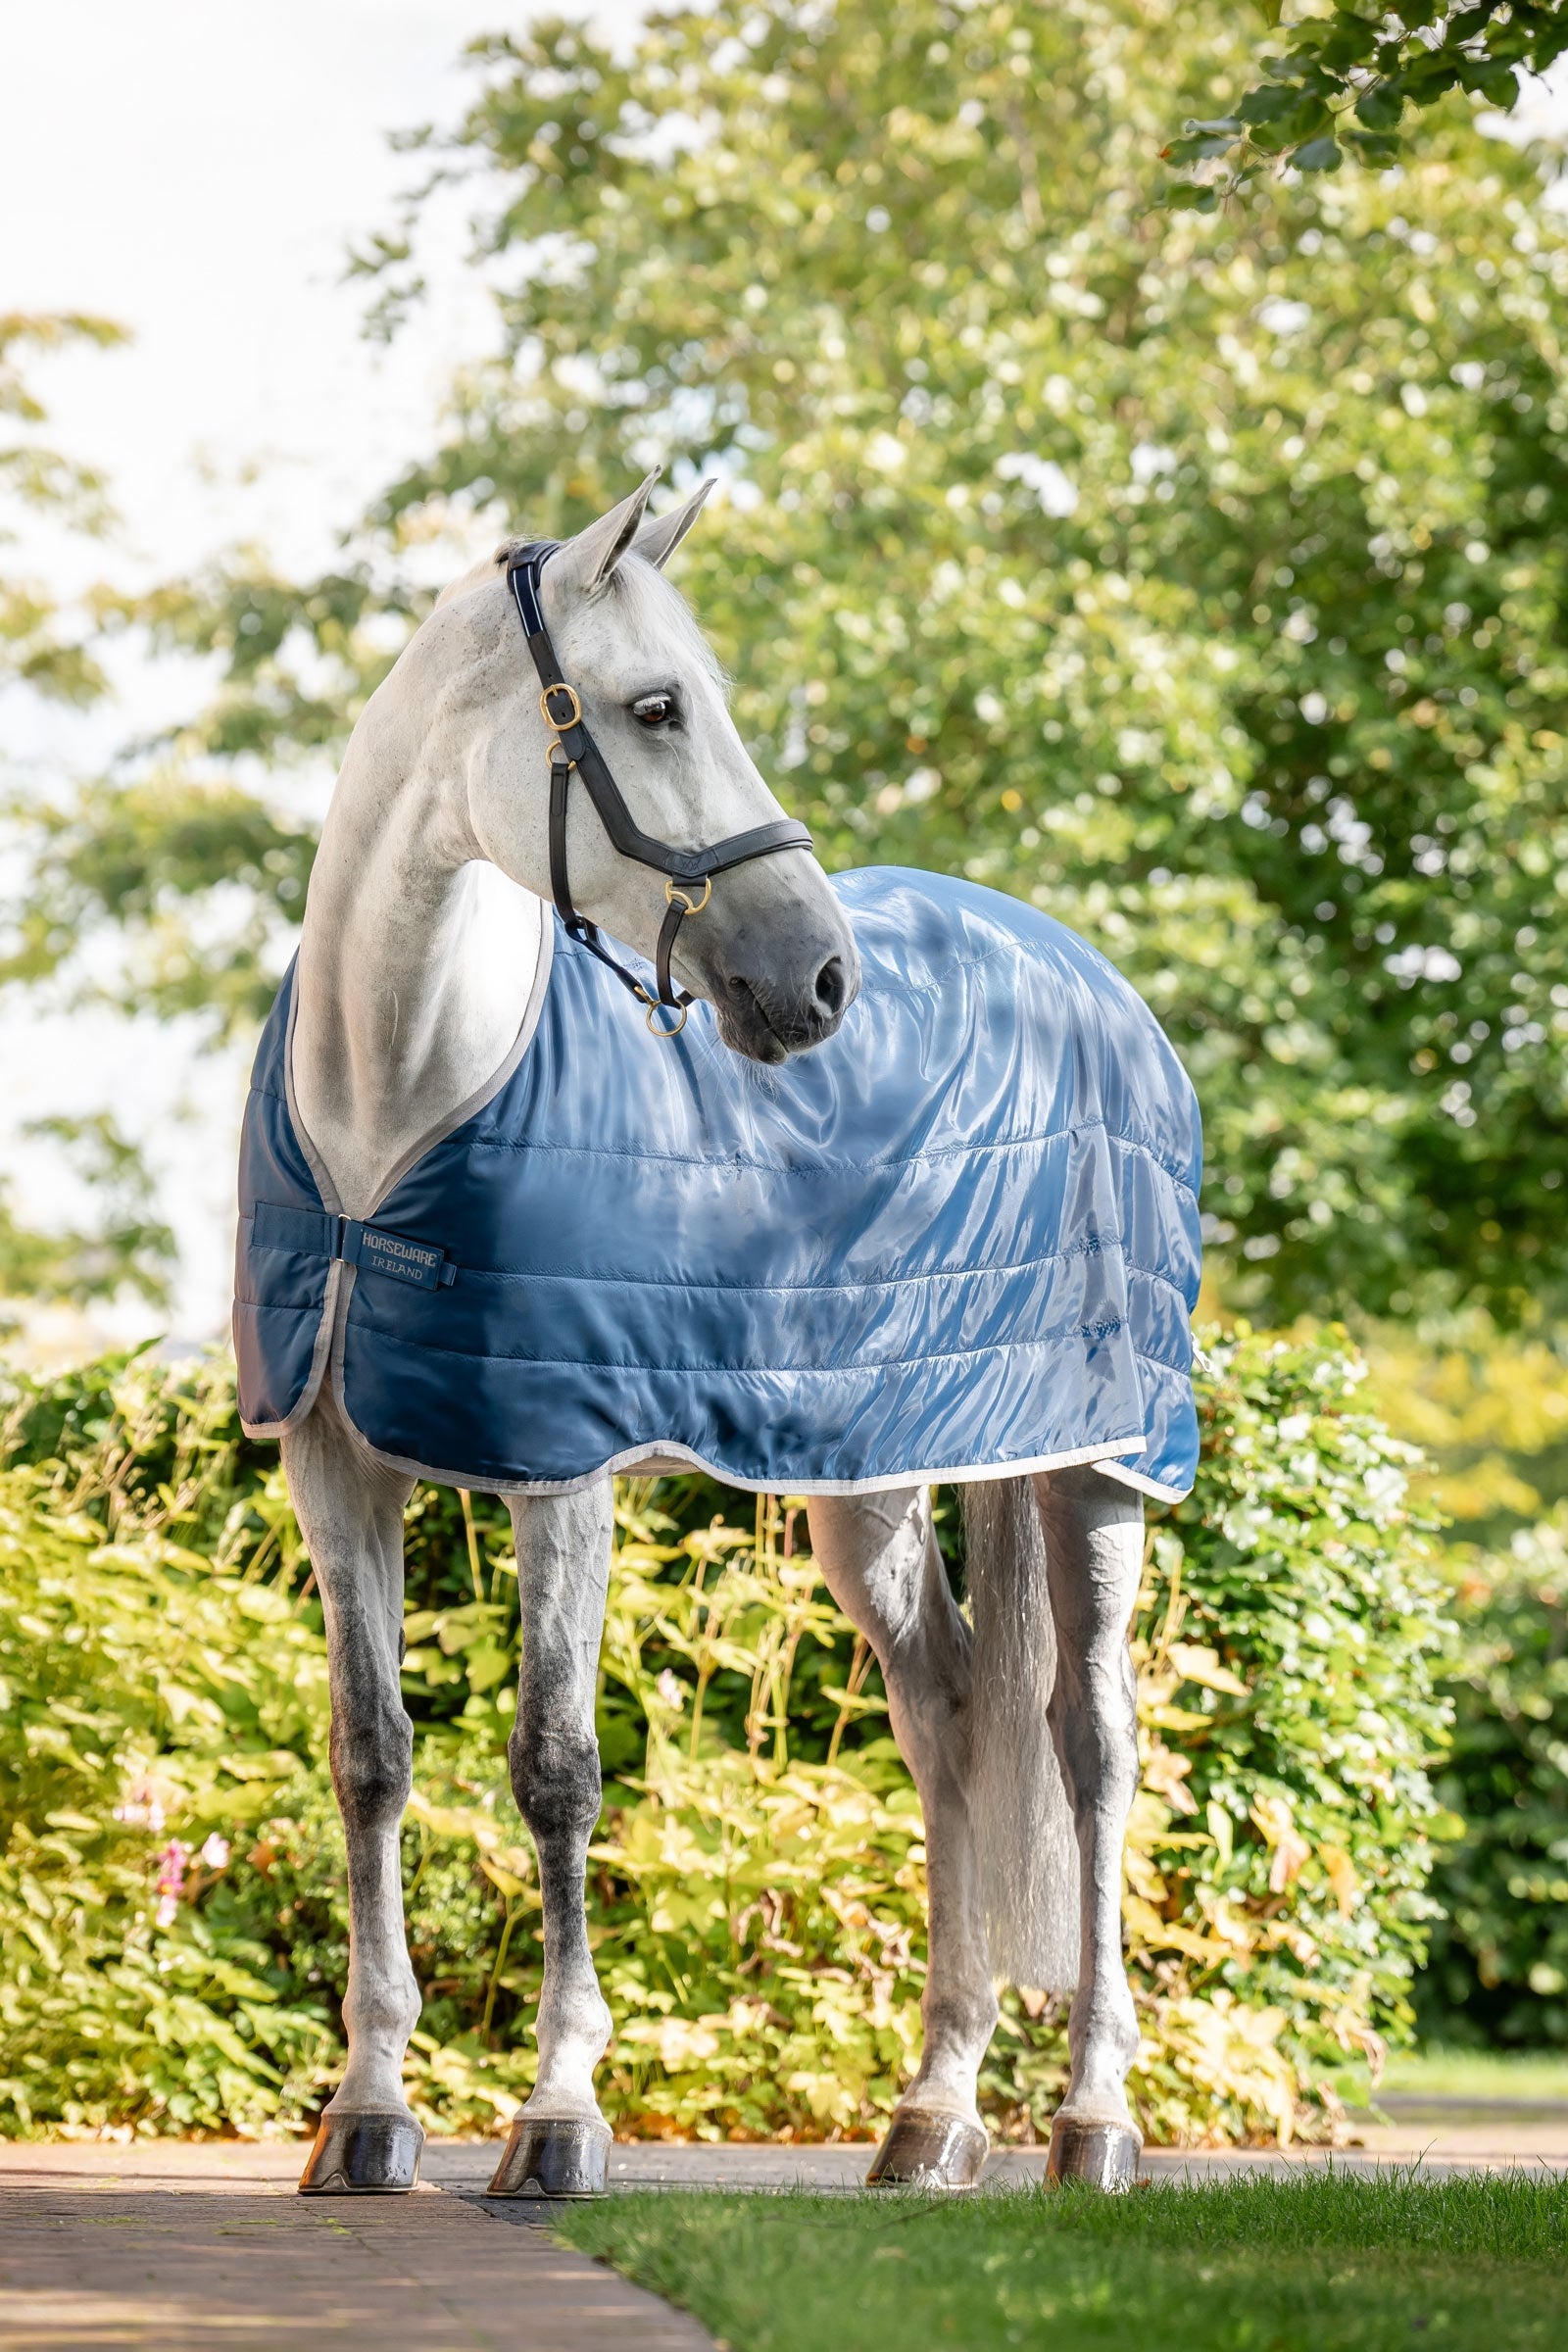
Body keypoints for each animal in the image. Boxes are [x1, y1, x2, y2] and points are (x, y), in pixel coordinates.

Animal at [233, 473, 1201, 2200]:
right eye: (657, 707)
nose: (817, 980)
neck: (393, 1103)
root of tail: (1091, 979)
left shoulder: (561, 1471)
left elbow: (555, 1767)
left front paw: (557, 2117)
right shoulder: (336, 1460)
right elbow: (370, 1756)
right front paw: (367, 2113)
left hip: (1096, 1463)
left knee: (1089, 1745)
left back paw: (1092, 2121)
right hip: (870, 1484)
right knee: (952, 1718)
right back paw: (932, 2118)